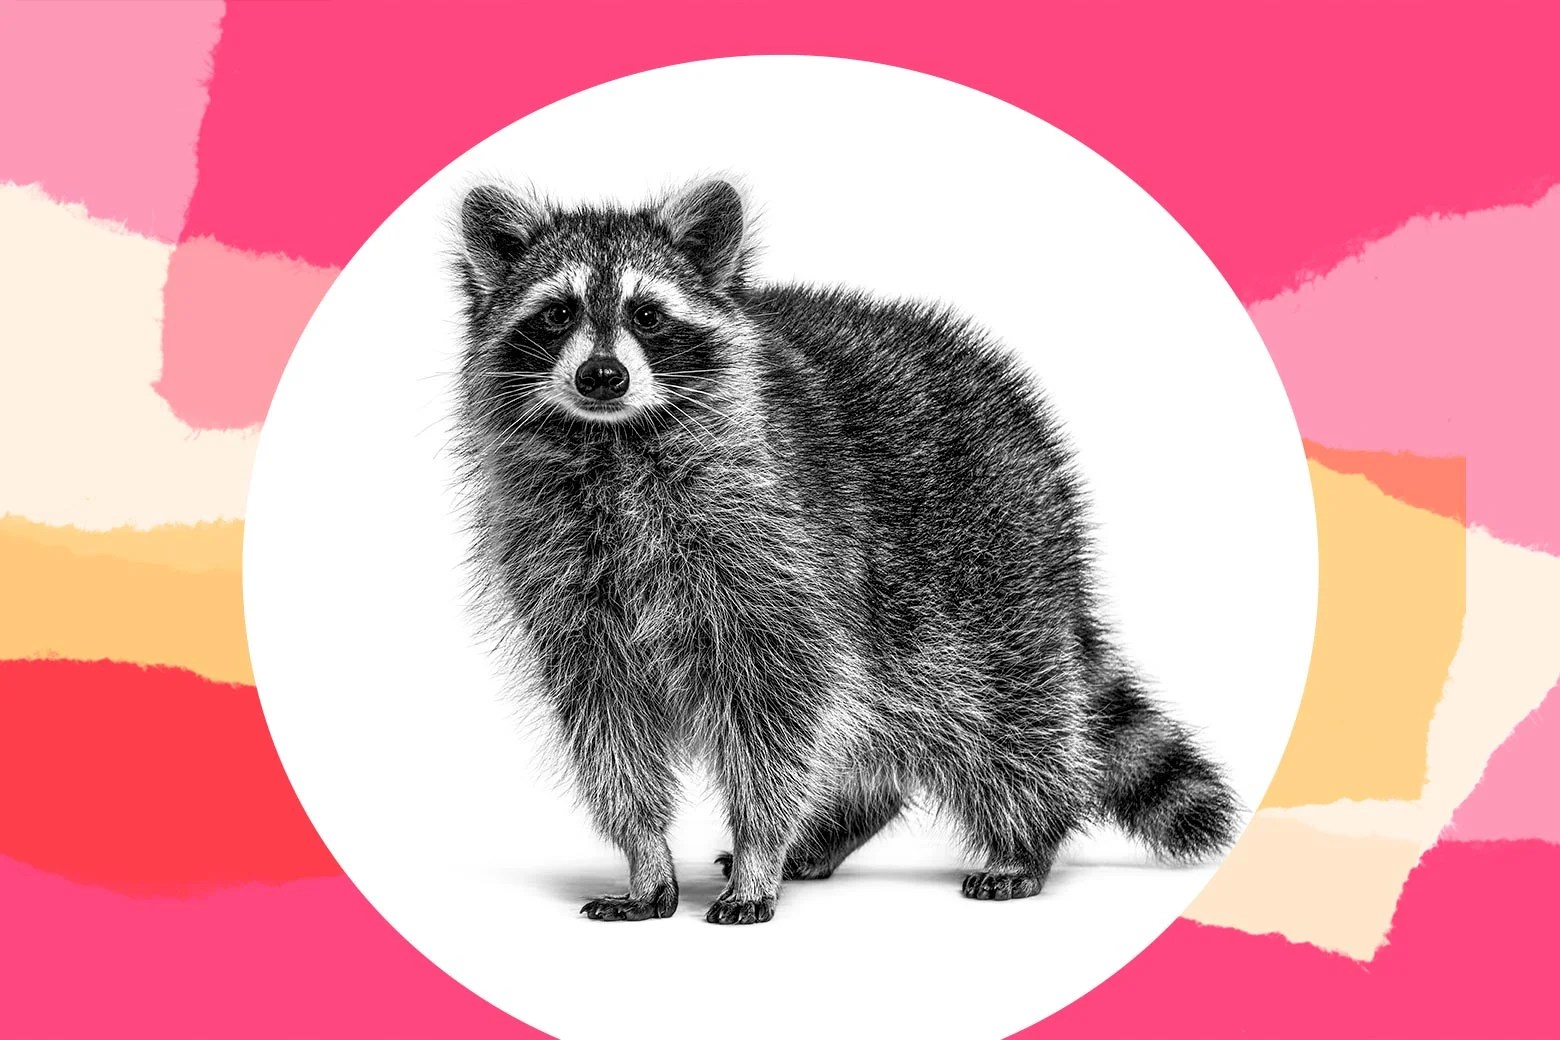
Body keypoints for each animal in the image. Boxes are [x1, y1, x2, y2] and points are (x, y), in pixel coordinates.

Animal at [450, 177, 1239, 926]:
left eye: (647, 314)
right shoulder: (563, 574)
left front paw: (760, 848)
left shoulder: (775, 547)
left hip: (989, 560)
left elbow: (776, 717)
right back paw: (843, 823)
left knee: (1007, 703)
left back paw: (1027, 836)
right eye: (558, 313)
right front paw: (645, 853)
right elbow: (609, 727)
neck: (614, 439)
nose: (602, 375)